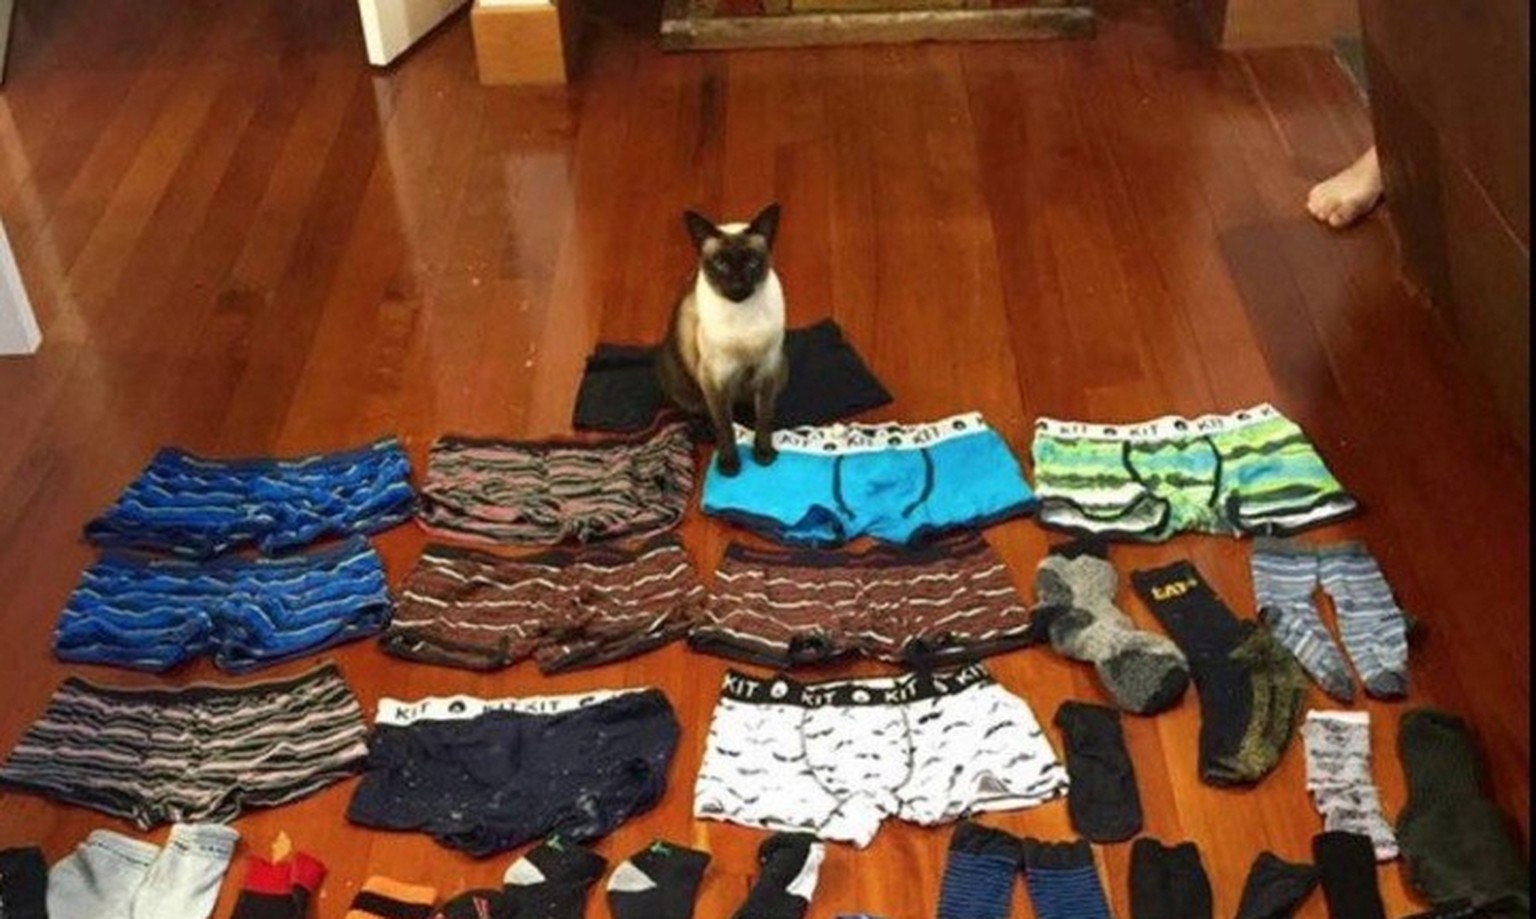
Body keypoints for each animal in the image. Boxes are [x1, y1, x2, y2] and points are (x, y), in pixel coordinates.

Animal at [656, 203, 788, 477]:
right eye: (720, 264)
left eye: (751, 263)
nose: (737, 285)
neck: (741, 314)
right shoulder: (715, 379)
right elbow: (725, 426)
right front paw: (729, 465)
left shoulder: (767, 370)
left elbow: (764, 417)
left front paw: (763, 454)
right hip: (689, 385)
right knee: (702, 413)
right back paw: (705, 430)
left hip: (780, 369)